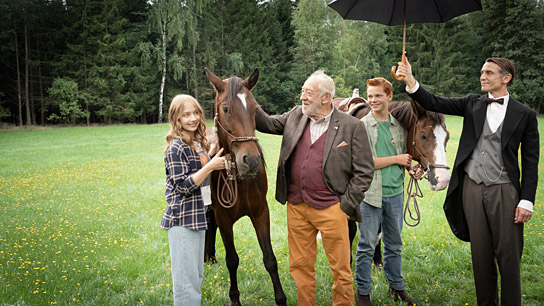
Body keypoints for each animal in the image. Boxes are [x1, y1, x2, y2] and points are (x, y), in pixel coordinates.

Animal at [204, 68, 286, 304]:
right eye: (225, 108)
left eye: (254, 109)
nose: (251, 160)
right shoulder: (224, 217)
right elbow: (232, 260)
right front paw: (235, 299)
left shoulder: (260, 213)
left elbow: (270, 258)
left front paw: (281, 298)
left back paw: (210, 258)